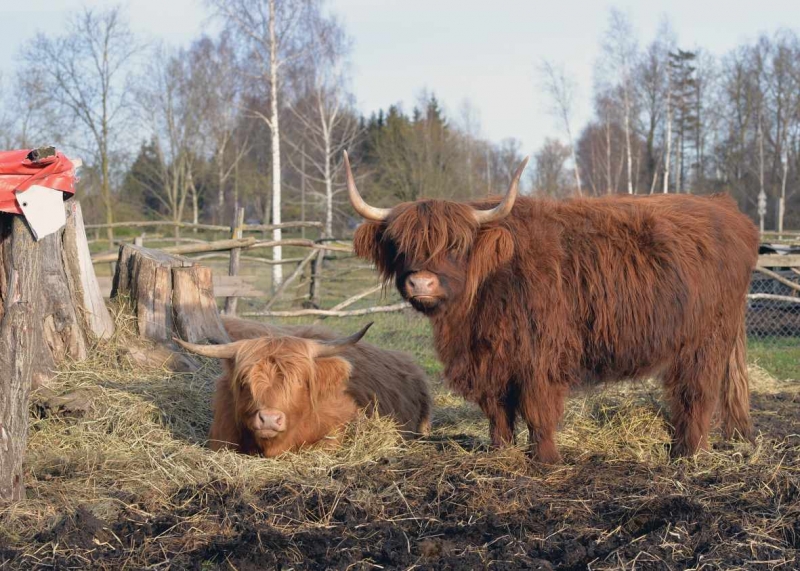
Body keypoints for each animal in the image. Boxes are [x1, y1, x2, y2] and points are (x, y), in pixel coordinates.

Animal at [342, 150, 756, 462]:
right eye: (399, 245)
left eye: (456, 244)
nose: (421, 283)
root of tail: (723, 207)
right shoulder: (489, 362)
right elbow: (498, 413)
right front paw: (501, 452)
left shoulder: (540, 355)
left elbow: (538, 411)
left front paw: (545, 459)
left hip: (706, 341)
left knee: (697, 394)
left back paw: (689, 453)